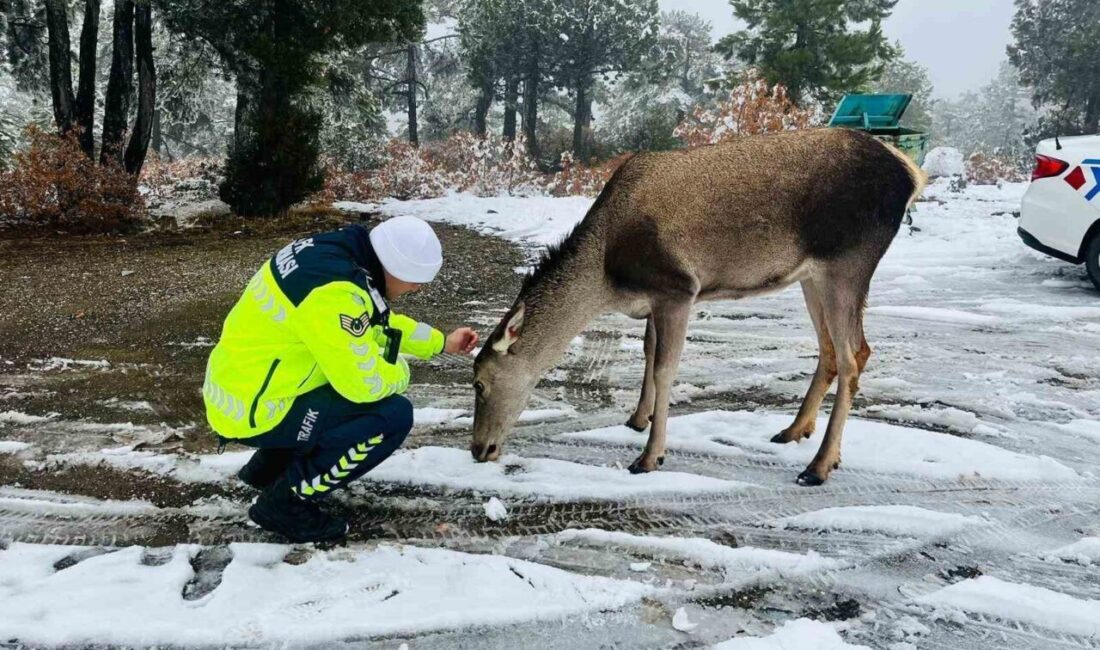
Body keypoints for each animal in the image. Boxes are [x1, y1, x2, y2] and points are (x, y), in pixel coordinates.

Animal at [468, 127, 924, 486]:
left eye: (479, 383)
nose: (478, 450)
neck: (607, 277)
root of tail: (911, 174)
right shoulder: (654, 298)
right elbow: (648, 354)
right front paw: (638, 420)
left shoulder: (678, 287)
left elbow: (665, 368)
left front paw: (650, 457)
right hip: (811, 276)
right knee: (832, 350)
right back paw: (794, 430)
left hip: (847, 262)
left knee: (854, 356)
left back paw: (819, 465)